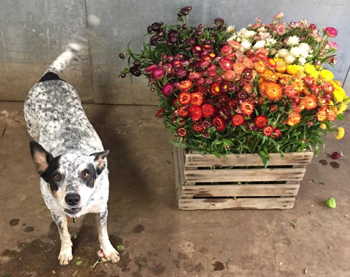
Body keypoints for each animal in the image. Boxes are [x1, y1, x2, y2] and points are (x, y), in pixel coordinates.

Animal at [24, 43, 120, 266]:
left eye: (86, 173)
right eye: (56, 176)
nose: (72, 198)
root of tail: (49, 76)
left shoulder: (101, 209)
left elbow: (103, 233)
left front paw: (108, 250)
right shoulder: (56, 212)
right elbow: (64, 234)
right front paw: (66, 251)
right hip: (32, 126)